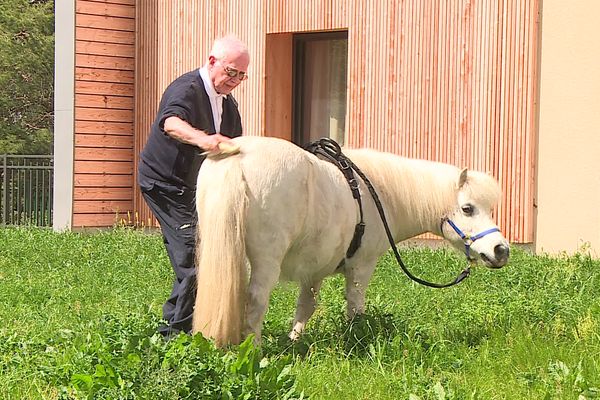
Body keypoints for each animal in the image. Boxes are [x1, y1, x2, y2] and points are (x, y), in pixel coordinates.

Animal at [191, 135, 506, 346]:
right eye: (468, 208)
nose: (501, 250)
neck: (377, 194)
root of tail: (238, 153)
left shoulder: (314, 270)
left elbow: (305, 307)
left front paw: (294, 342)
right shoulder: (361, 267)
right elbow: (355, 308)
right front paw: (355, 339)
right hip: (266, 262)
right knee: (256, 302)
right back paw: (254, 351)